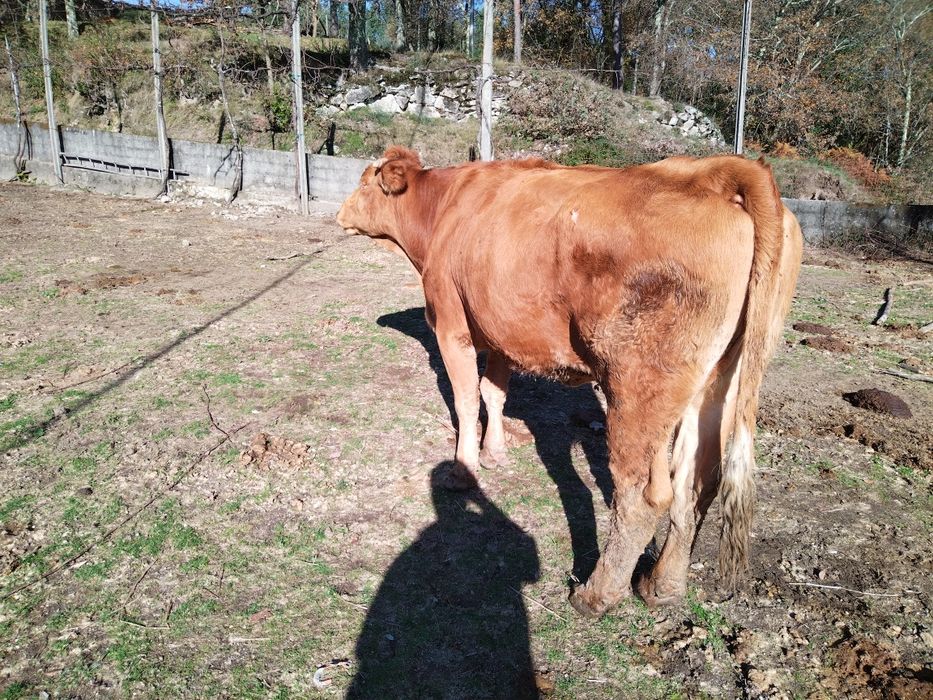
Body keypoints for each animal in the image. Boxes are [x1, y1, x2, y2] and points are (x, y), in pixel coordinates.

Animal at [336, 146, 802, 617]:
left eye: (364, 181)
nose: (339, 213)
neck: (444, 207)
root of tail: (713, 171)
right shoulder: (504, 329)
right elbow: (494, 392)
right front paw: (494, 452)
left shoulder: (451, 324)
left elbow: (466, 399)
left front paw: (462, 469)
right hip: (718, 382)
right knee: (697, 483)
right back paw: (662, 586)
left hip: (637, 386)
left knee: (643, 496)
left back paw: (597, 594)